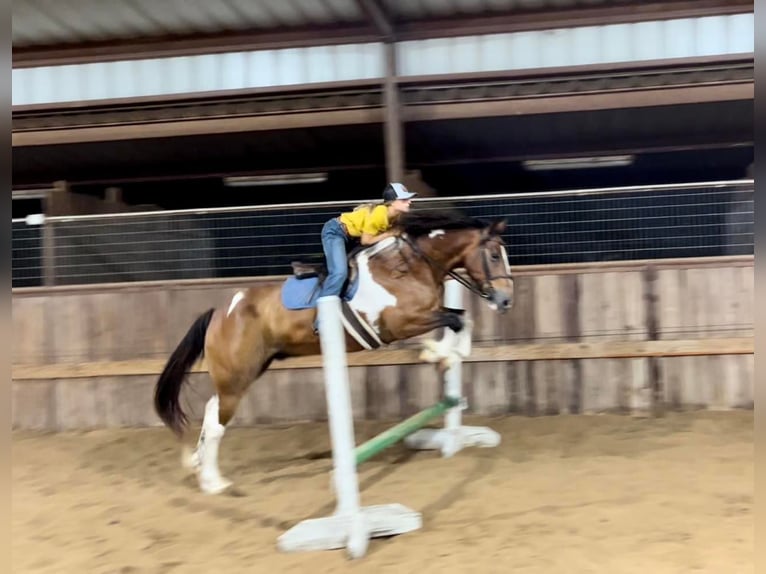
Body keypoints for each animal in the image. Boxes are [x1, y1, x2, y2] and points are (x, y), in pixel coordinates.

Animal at [153, 210, 516, 496]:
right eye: (494, 256)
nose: (505, 301)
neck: (409, 266)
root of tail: (219, 313)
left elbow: (462, 318)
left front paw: (448, 355)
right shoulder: (400, 323)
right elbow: (455, 319)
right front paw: (435, 352)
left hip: (246, 372)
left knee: (211, 410)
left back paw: (197, 463)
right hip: (236, 378)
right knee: (217, 423)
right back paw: (213, 483)